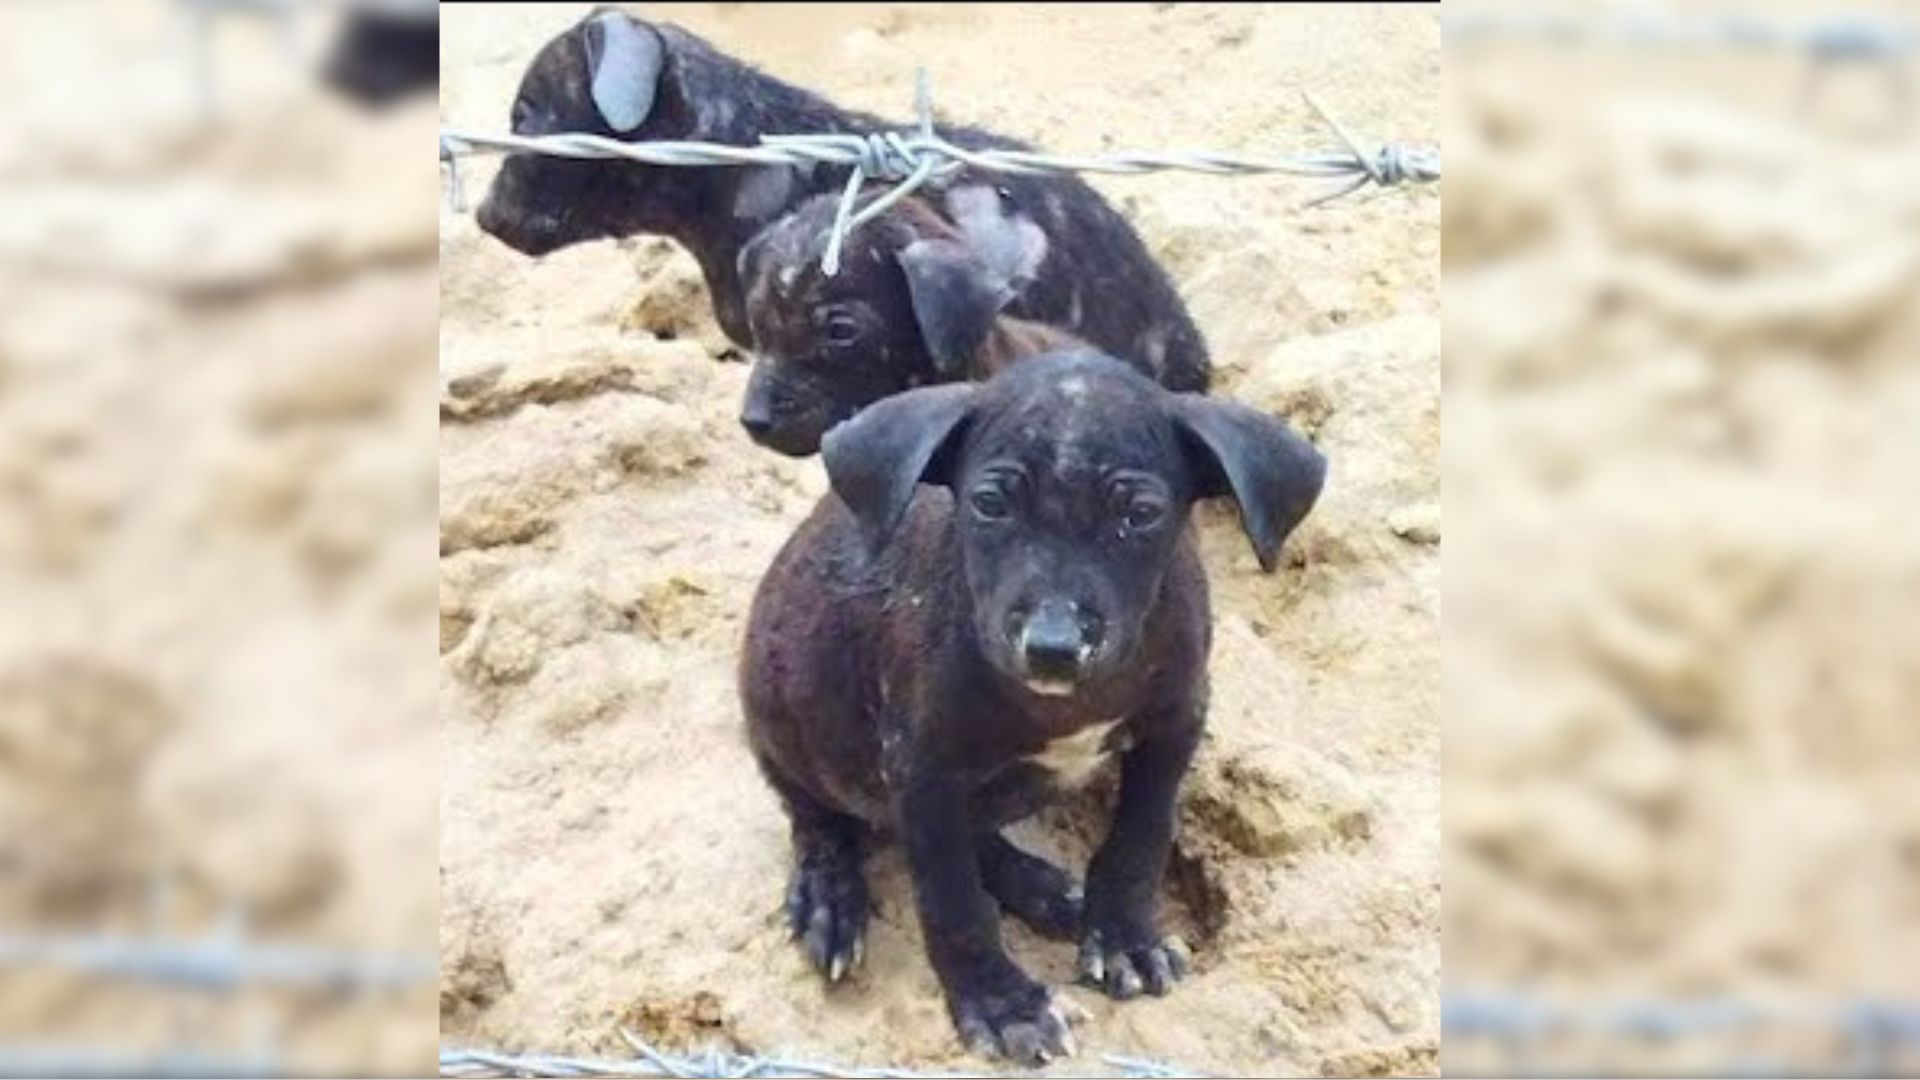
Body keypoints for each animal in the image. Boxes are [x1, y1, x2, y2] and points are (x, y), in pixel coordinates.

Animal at [741, 349, 1328, 1053]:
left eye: (1140, 513)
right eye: (990, 504)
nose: (1053, 647)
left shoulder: (1178, 720)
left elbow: (1142, 836)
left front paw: (1124, 938)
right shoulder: (921, 769)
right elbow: (953, 898)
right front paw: (1002, 1005)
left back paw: (1045, 890)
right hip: (780, 717)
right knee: (818, 817)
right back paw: (830, 897)